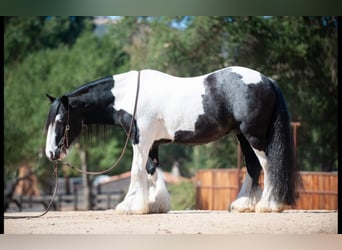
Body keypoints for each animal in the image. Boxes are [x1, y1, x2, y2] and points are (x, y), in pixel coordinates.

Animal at [44, 65, 298, 214]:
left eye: (60, 121)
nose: (51, 153)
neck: (129, 95)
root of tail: (268, 80)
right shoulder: (152, 143)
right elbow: (151, 170)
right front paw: (154, 204)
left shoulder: (141, 139)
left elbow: (136, 171)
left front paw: (129, 206)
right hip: (242, 136)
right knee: (253, 167)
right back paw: (243, 204)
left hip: (253, 136)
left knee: (268, 165)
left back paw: (268, 205)